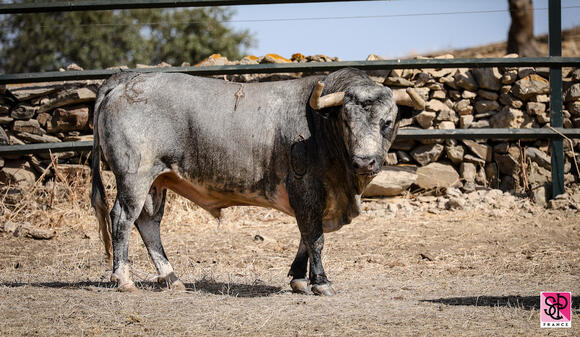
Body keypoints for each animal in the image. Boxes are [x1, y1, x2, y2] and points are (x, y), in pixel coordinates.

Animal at [90, 68, 422, 294]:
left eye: (387, 122)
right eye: (346, 121)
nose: (364, 161)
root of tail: (126, 79)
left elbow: (304, 237)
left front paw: (299, 278)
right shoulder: (306, 190)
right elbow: (315, 238)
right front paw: (321, 282)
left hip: (157, 181)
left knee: (148, 224)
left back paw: (171, 278)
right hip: (134, 176)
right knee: (122, 218)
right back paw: (123, 278)